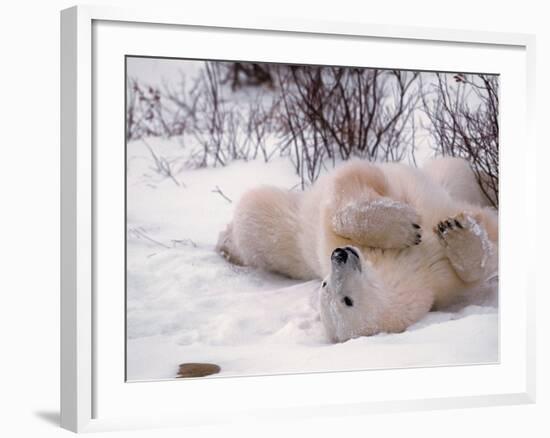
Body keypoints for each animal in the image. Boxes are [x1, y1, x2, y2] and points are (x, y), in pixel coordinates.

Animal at [217, 157, 500, 342]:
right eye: (346, 300)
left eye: (325, 284)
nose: (340, 254)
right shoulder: (433, 280)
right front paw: (453, 233)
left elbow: (348, 186)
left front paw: (436, 227)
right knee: (257, 215)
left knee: (453, 170)